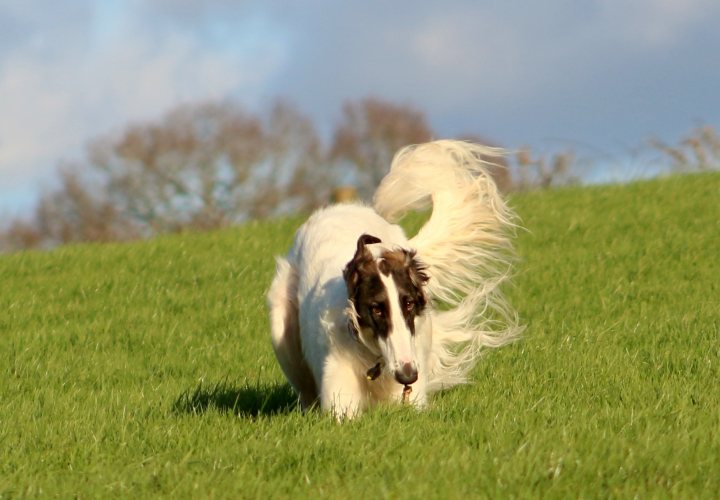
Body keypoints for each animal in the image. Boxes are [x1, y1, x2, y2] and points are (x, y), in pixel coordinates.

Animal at [268, 140, 520, 418]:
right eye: (376, 308)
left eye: (408, 303)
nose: (407, 375)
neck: (374, 358)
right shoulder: (340, 401)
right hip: (282, 329)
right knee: (303, 388)